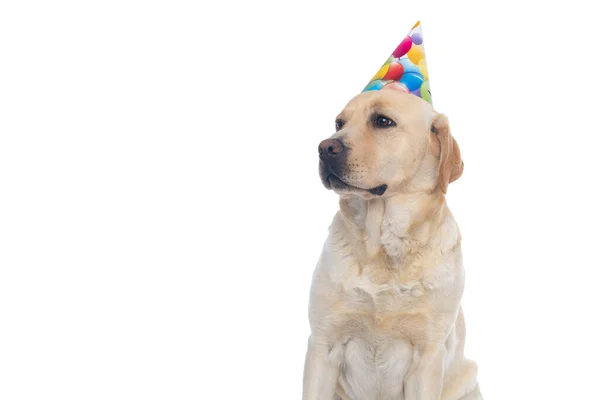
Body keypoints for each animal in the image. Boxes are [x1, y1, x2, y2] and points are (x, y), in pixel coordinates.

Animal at [302, 90, 480, 400]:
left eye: (383, 121)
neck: (383, 248)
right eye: (339, 123)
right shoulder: (323, 347)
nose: (325, 147)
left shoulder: (427, 357)